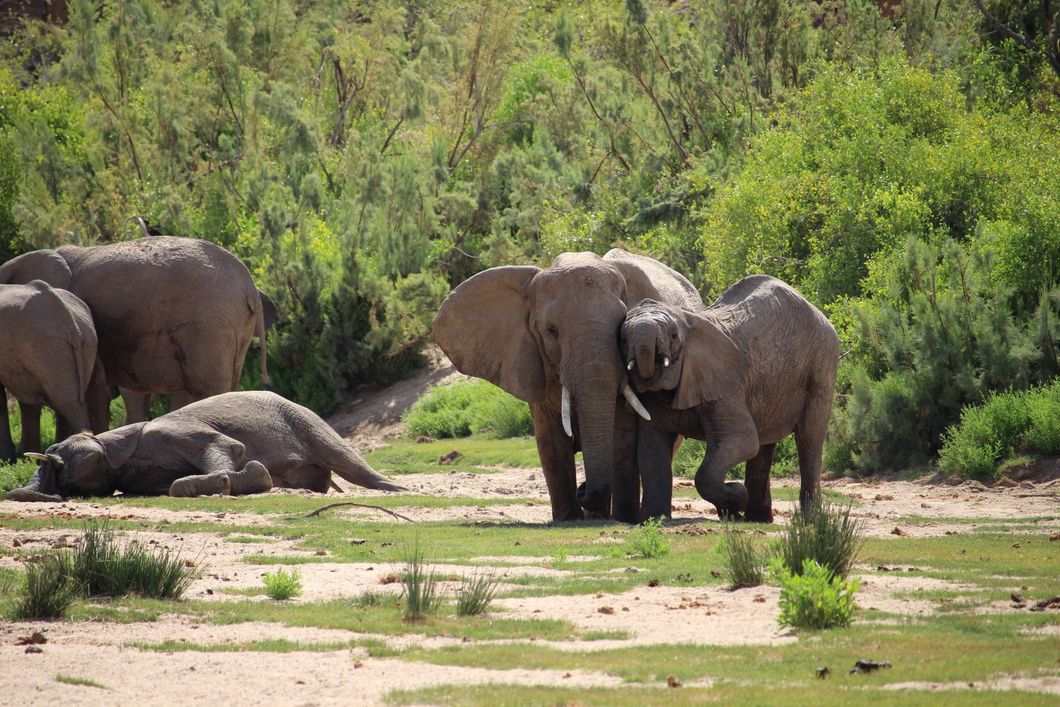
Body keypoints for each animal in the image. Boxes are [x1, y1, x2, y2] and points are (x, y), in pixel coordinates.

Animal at [5, 391, 406, 501]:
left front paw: (246, 478)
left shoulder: (174, 431)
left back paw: (399, 489)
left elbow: (227, 446)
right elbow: (168, 485)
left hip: (306, 420)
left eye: (57, 452)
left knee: (347, 460)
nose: (50, 490)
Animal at [432, 249, 703, 523]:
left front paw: (622, 518)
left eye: (622, 327)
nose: (582, 490)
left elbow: (622, 434)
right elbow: (551, 439)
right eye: (551, 330)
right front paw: (568, 519)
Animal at [620, 275, 839, 522]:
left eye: (673, 336)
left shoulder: (725, 383)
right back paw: (757, 519)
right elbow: (651, 448)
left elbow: (742, 440)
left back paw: (811, 520)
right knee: (765, 443)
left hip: (821, 364)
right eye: (624, 339)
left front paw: (735, 496)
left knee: (809, 438)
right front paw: (655, 520)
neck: (688, 319)